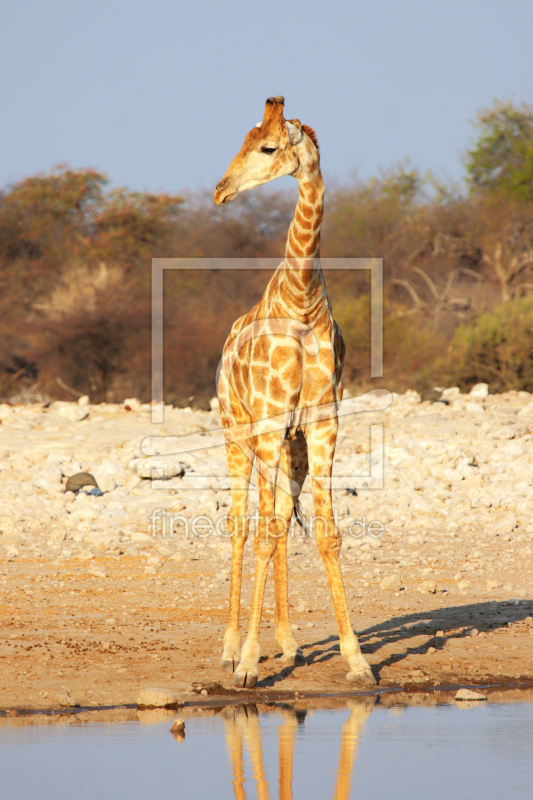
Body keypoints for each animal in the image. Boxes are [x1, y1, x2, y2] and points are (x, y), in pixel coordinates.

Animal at [212, 97, 374, 688]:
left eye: (267, 147)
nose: (221, 190)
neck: (302, 301)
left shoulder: (323, 423)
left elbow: (324, 533)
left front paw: (357, 660)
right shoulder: (266, 420)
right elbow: (260, 533)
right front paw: (245, 665)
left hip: (290, 445)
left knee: (280, 518)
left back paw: (286, 644)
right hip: (237, 432)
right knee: (243, 525)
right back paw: (231, 647)